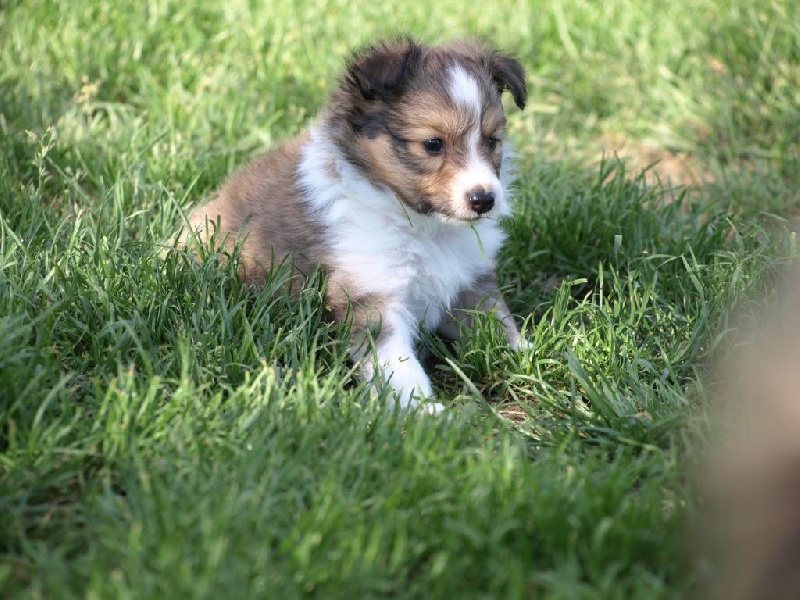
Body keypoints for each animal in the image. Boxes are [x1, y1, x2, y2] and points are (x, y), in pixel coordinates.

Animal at [184, 37, 528, 412]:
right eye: (433, 144)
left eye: (492, 141)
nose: (484, 200)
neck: (423, 224)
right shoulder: (371, 293)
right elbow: (398, 363)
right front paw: (423, 410)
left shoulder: (470, 282)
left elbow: (499, 322)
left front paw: (529, 358)